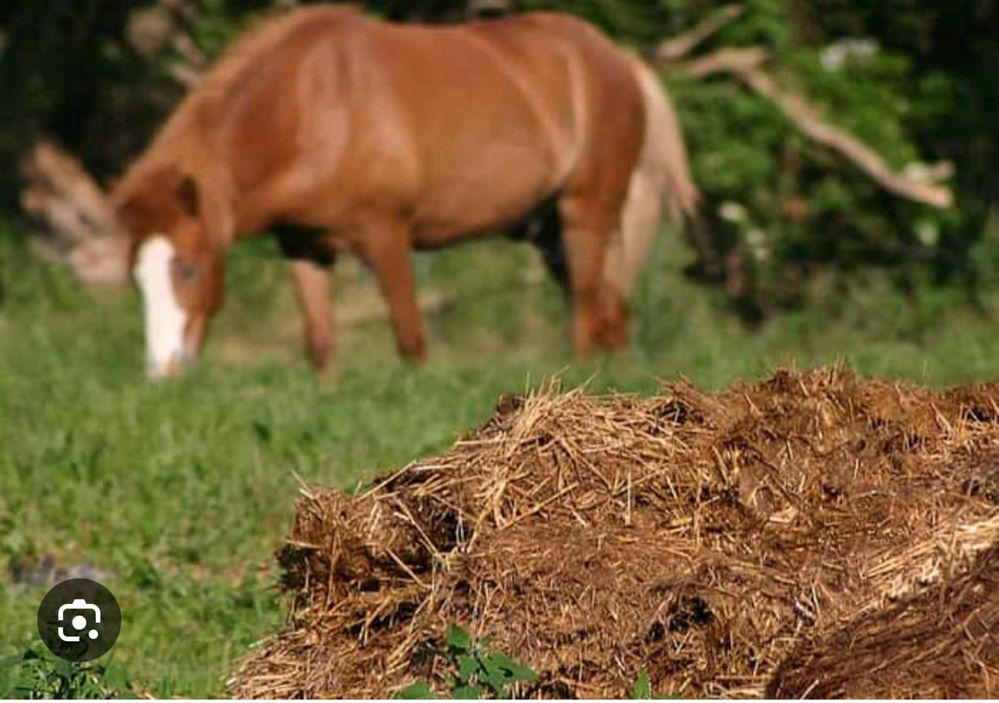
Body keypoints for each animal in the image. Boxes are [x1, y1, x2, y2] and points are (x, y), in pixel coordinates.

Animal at [113, 5, 700, 380]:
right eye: (137, 278)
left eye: (188, 268)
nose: (162, 372)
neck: (311, 107)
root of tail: (619, 58)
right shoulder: (304, 246)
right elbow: (320, 343)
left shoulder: (386, 235)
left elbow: (410, 337)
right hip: (550, 230)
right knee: (610, 309)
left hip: (586, 213)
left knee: (585, 309)